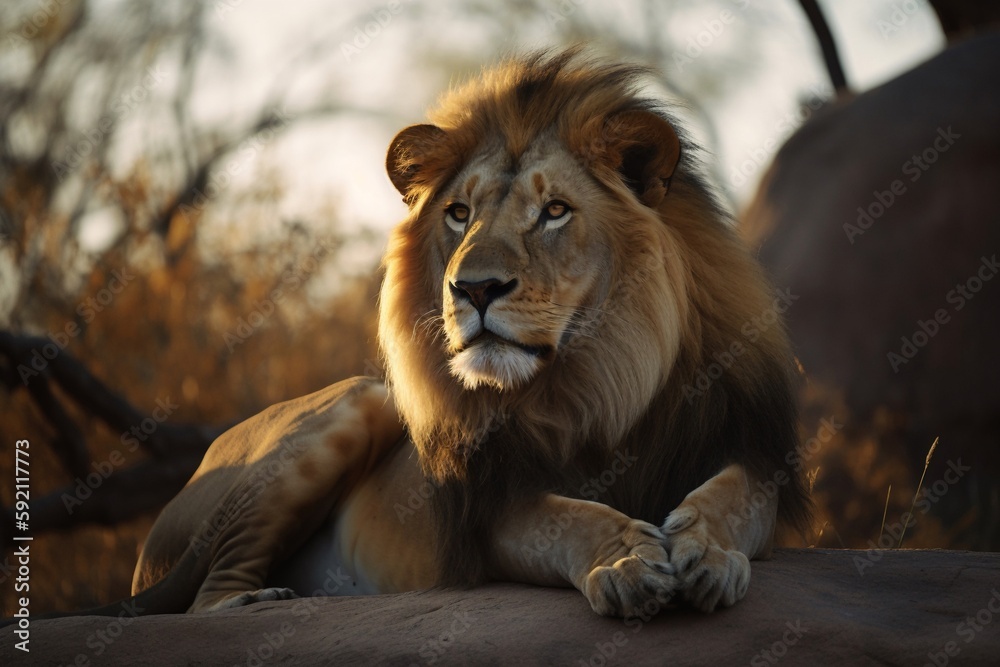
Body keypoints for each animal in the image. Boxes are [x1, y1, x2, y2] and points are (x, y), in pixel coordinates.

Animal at [41, 49, 812, 624]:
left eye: (555, 211)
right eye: (459, 213)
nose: (473, 289)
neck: (601, 378)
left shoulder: (750, 449)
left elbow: (730, 498)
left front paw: (706, 552)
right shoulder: (491, 507)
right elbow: (574, 516)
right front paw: (626, 559)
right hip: (358, 403)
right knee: (202, 598)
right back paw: (258, 601)